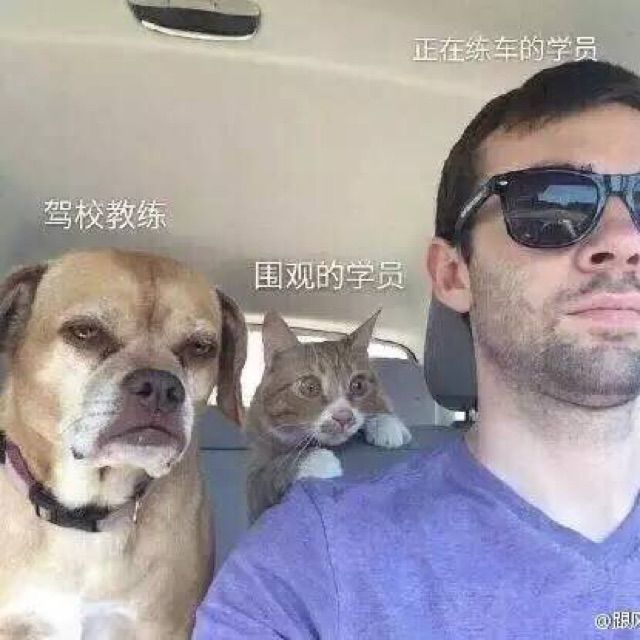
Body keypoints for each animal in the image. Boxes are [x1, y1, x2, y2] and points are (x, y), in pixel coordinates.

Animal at [245, 309, 412, 523]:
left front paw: (385, 423)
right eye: (310, 387)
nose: (343, 417)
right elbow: (274, 469)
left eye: (358, 385)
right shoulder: (254, 484)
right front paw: (315, 460)